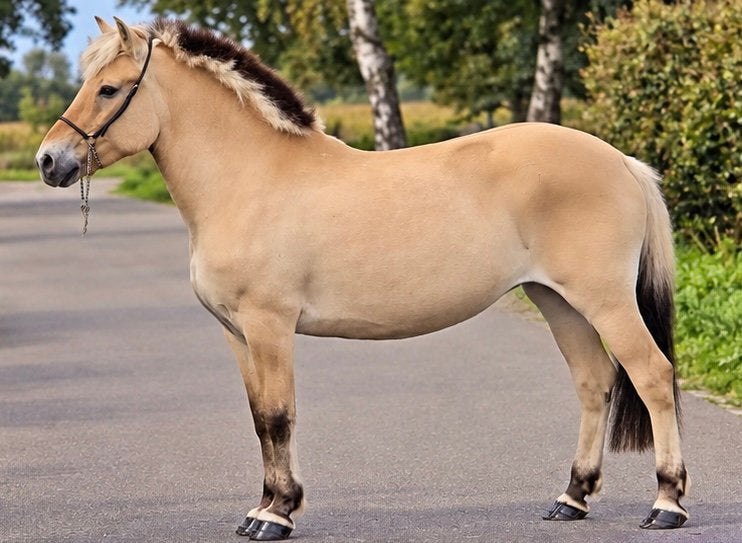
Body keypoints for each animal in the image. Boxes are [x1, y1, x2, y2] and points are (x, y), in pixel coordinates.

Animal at [36, 17, 690, 540]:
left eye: (109, 88)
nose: (48, 160)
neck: (251, 179)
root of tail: (621, 161)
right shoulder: (237, 333)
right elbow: (259, 420)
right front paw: (261, 508)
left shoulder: (270, 326)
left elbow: (280, 416)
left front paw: (276, 514)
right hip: (557, 300)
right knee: (594, 382)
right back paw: (571, 498)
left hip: (604, 300)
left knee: (652, 376)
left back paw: (667, 504)